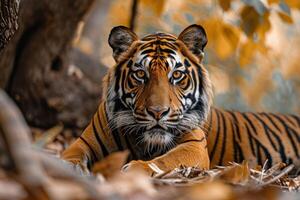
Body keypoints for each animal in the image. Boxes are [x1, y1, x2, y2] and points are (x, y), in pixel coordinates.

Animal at [61, 23, 300, 175]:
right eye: (140, 74)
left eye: (176, 75)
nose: (157, 112)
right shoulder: (83, 143)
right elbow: (68, 156)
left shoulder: (194, 146)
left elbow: (167, 160)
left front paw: (137, 168)